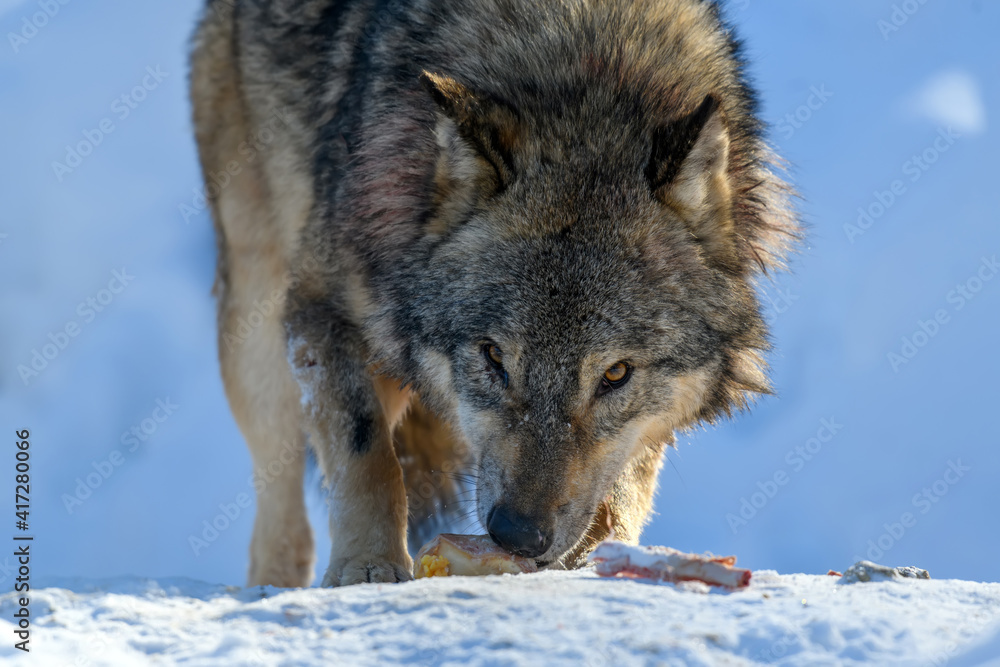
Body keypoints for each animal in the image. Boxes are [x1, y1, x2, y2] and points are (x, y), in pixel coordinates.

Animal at [188, 0, 796, 588]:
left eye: (616, 375)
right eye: (493, 357)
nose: (517, 535)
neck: (589, 80)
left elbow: (628, 476)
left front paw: (605, 552)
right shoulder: (321, 309)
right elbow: (367, 453)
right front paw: (368, 568)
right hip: (256, 330)